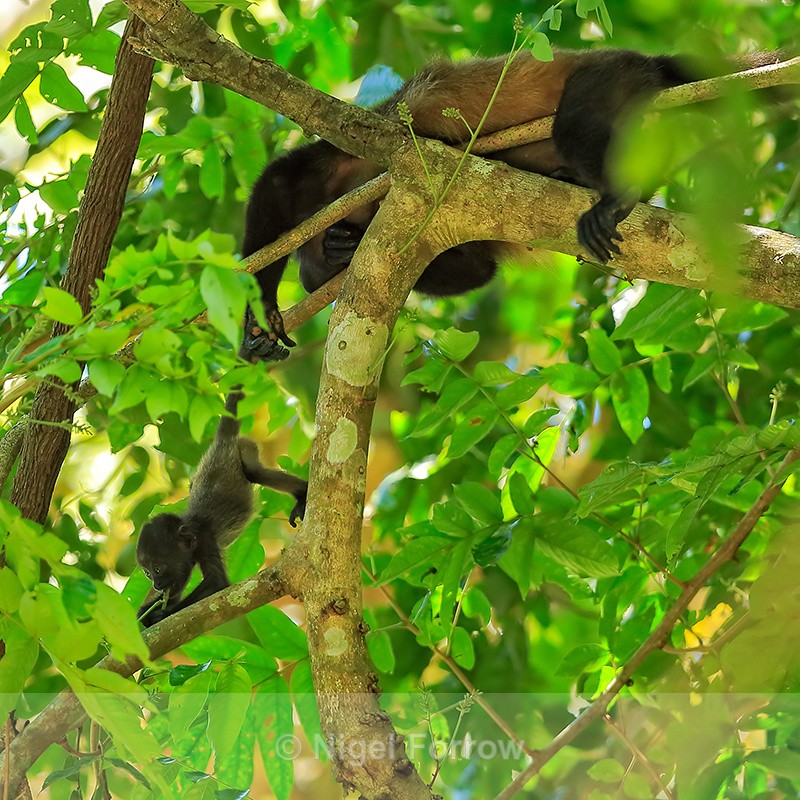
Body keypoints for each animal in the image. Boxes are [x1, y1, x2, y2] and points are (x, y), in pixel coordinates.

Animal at [136, 388, 308, 627]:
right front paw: (144, 612)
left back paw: (303, 495)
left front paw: (160, 614)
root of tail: (221, 445)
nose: (156, 585)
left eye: (157, 569)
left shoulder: (205, 540)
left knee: (255, 472)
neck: (190, 530)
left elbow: (216, 581)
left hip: (244, 447)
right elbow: (175, 591)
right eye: (147, 574)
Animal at [240, 47, 782, 361]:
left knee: (573, 123)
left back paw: (614, 198)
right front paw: (342, 252)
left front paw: (259, 313)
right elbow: (478, 267)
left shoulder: (360, 148)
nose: (332, 249)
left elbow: (281, 182)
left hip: (610, 75)